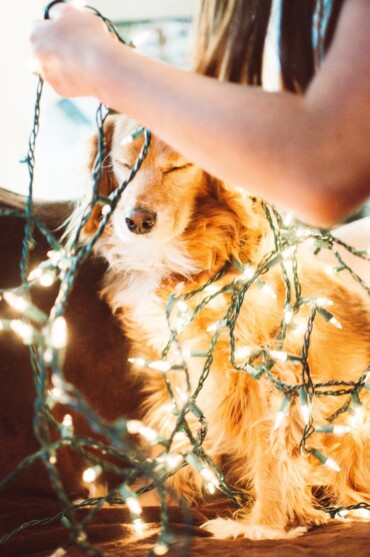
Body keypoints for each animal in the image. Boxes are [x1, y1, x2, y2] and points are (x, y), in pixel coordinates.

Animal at [70, 114, 370, 540]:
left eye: (178, 166)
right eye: (125, 165)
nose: (137, 221)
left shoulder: (272, 370)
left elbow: (272, 452)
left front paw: (267, 524)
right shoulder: (171, 368)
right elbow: (173, 438)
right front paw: (153, 498)